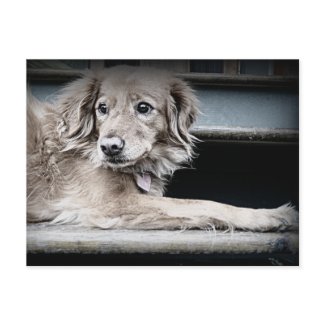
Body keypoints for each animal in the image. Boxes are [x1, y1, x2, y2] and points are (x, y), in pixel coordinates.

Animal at [26, 65, 298, 230]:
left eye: (143, 108)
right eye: (102, 108)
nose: (109, 147)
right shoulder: (110, 204)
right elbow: (204, 203)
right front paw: (269, 215)